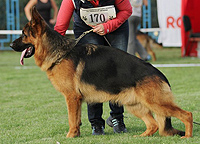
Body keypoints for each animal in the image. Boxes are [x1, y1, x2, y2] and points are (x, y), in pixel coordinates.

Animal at [10, 7, 193, 138]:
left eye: (23, 34)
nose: (11, 45)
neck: (60, 53)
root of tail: (160, 74)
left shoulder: (71, 97)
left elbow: (71, 119)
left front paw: (70, 136)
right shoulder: (76, 99)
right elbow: (76, 119)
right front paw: (76, 135)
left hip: (156, 103)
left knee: (187, 114)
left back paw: (188, 136)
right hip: (135, 105)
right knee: (154, 125)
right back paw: (141, 136)